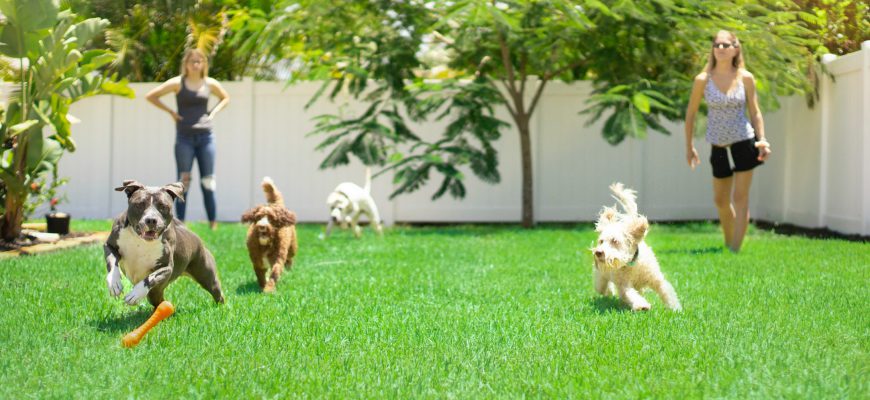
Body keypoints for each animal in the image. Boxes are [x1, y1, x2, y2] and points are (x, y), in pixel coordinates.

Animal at [102, 180, 227, 308]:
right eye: (140, 204)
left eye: (163, 206)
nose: (151, 220)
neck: (141, 240)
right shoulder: (110, 246)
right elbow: (112, 262)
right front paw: (114, 283)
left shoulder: (166, 267)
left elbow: (151, 277)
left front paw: (135, 294)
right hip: (156, 292)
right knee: (160, 300)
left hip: (206, 276)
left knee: (217, 292)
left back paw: (220, 308)